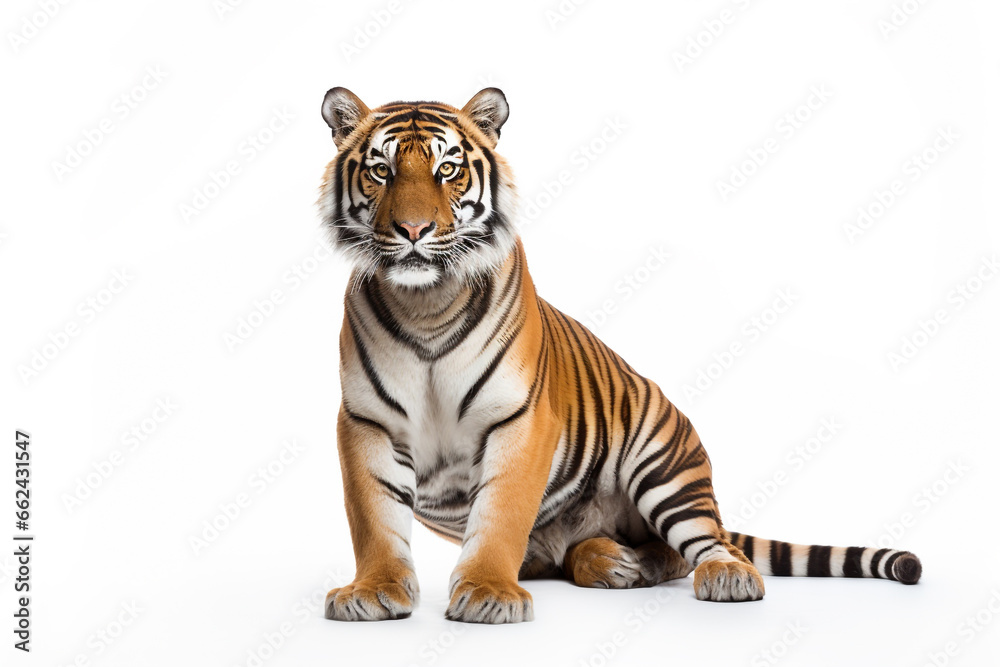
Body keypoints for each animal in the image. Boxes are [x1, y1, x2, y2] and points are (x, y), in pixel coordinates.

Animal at [317, 86, 922, 624]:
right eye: (381, 171)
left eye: (447, 170)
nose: (414, 229)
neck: (427, 302)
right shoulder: (368, 423)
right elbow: (374, 520)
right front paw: (372, 592)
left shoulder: (520, 419)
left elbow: (501, 515)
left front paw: (489, 594)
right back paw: (610, 559)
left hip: (662, 463)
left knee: (697, 546)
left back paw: (714, 574)